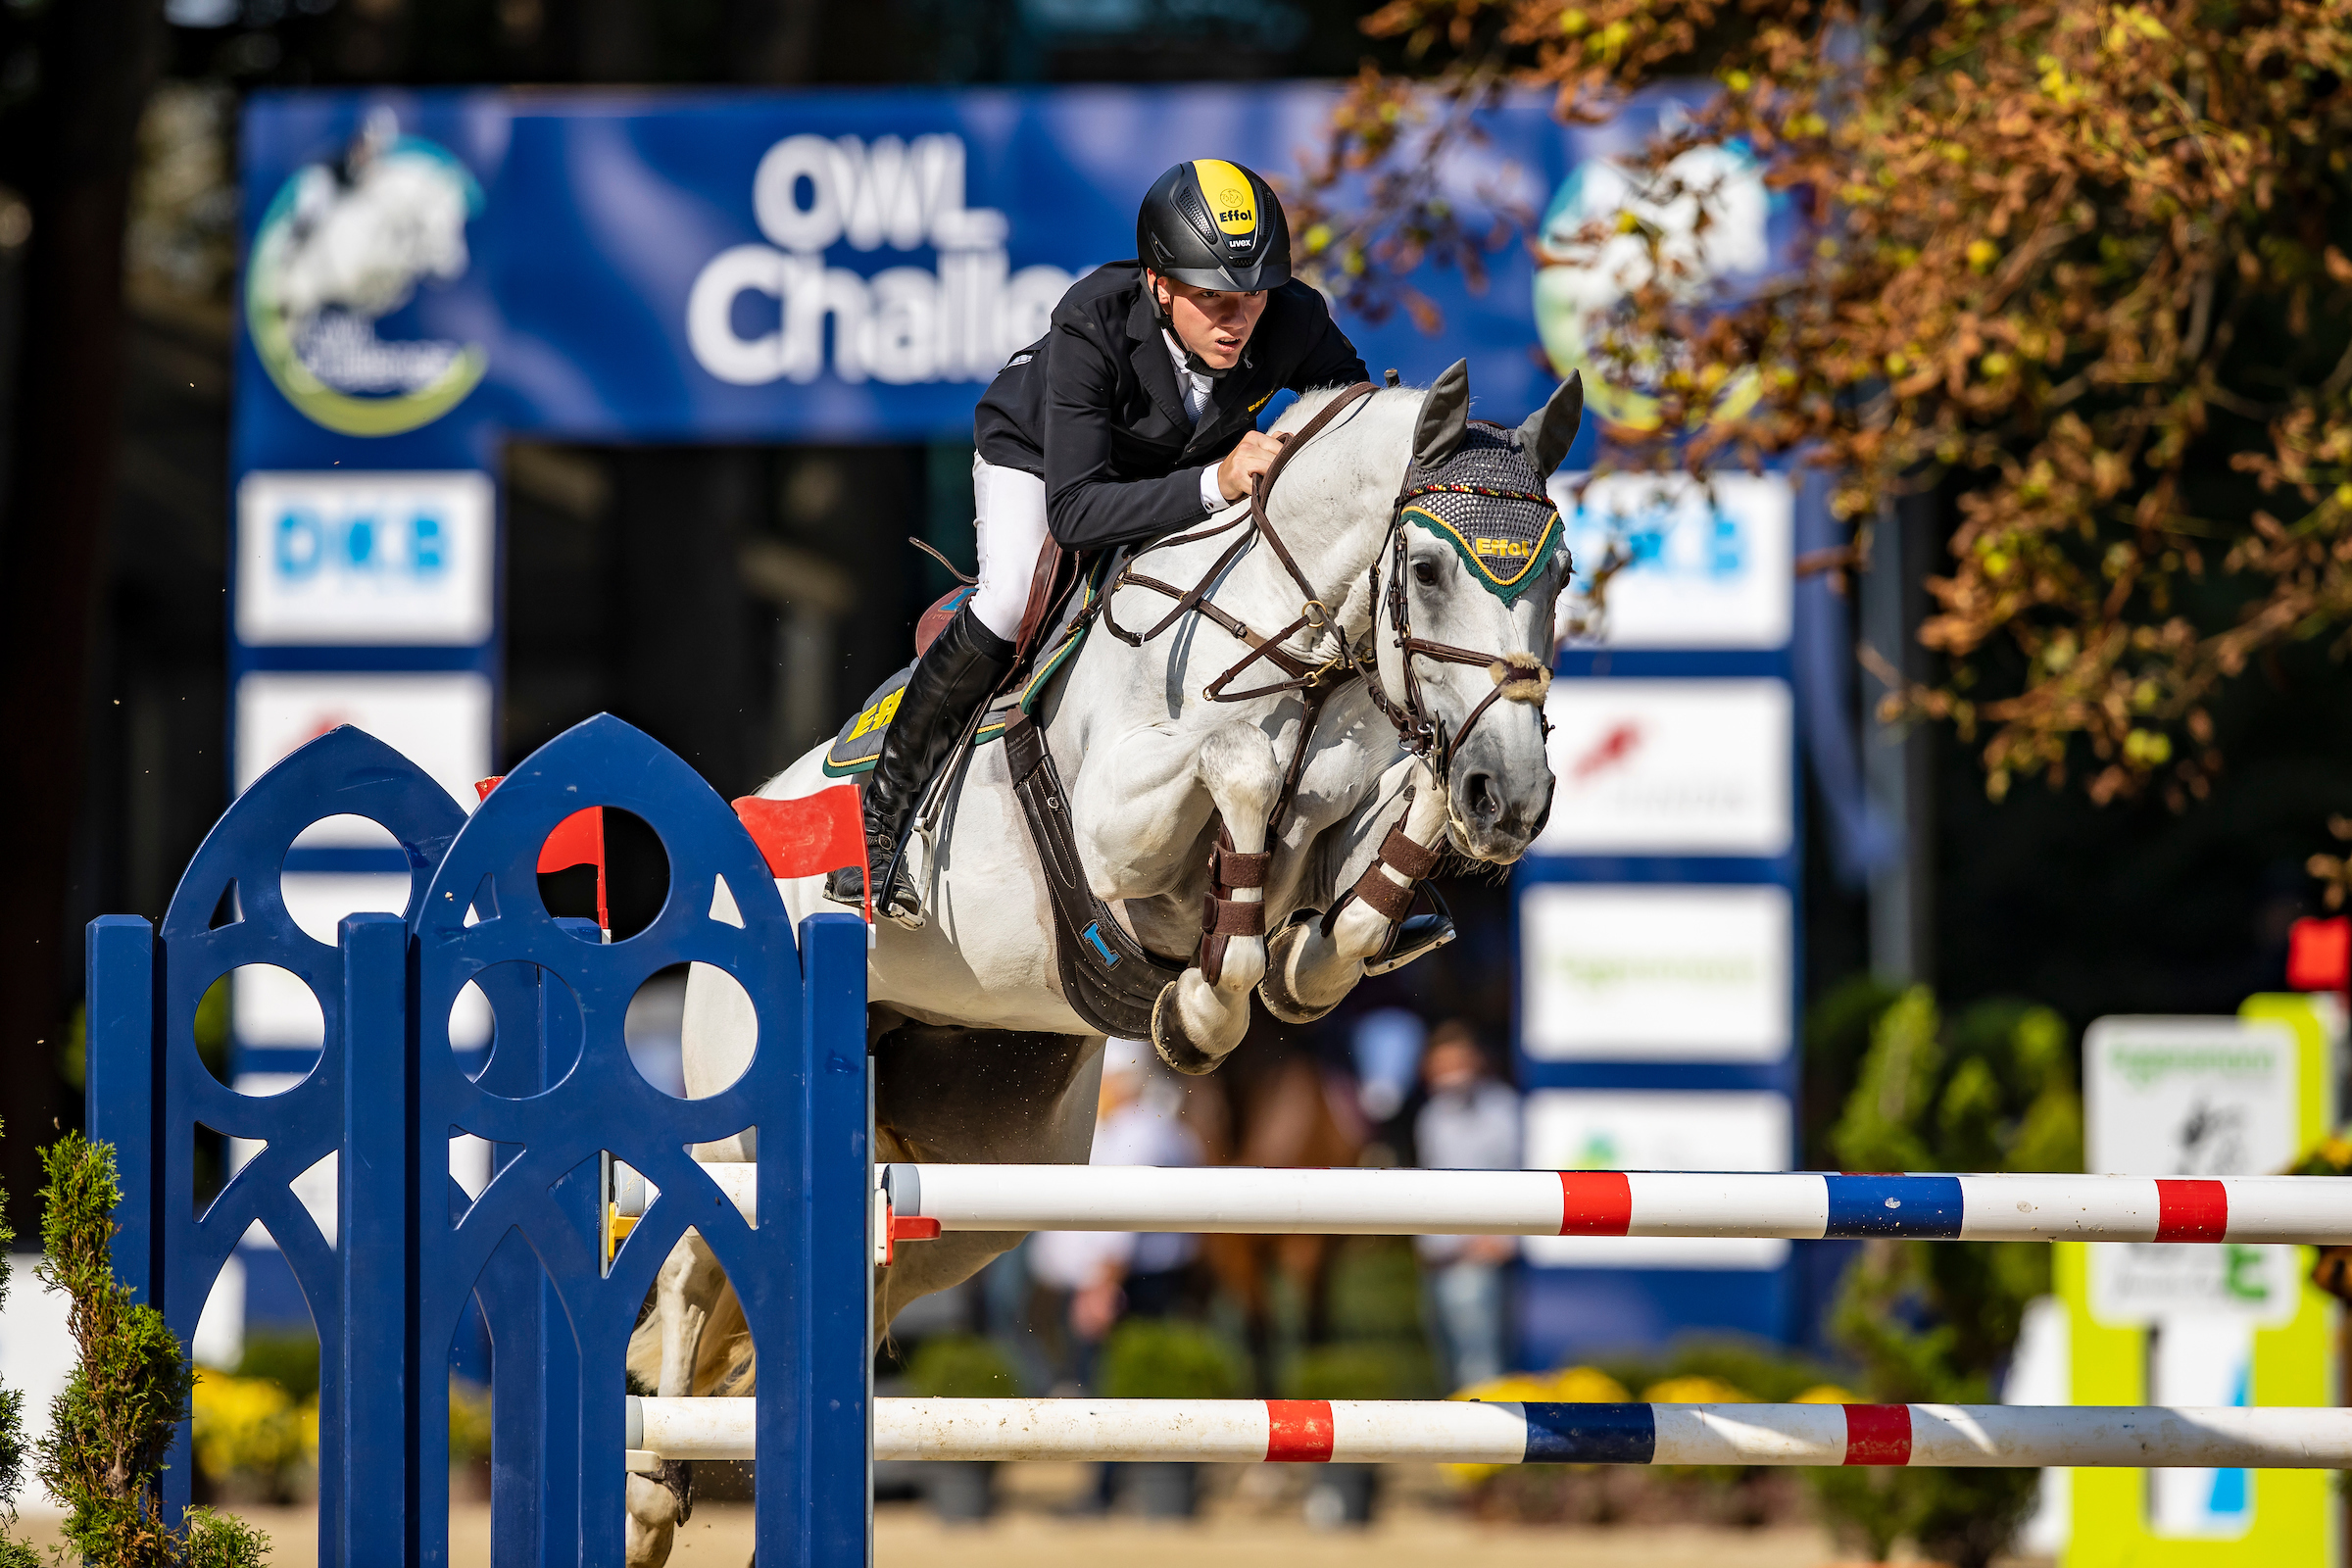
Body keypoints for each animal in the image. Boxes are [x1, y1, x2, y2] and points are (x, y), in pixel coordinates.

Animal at [620, 364, 1580, 1560]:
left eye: (1566, 574)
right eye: (1429, 568)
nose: (1515, 797)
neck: (1296, 657)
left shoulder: (1346, 822)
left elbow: (1363, 864)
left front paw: (1283, 964)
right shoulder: (1119, 826)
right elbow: (1238, 766)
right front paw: (1202, 1006)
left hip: (977, 1184)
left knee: (850, 1292)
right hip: (748, 1115)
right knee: (692, 1259)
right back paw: (650, 1494)